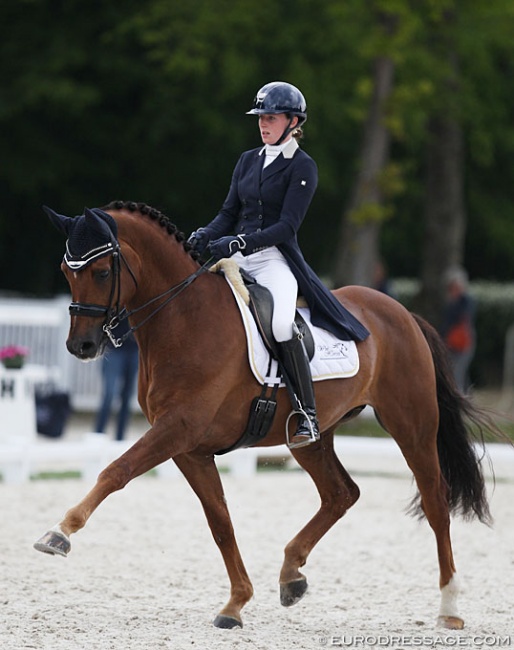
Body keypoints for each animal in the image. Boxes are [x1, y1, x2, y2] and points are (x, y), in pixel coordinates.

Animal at [35, 201, 492, 628]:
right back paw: (292, 575)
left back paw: (450, 607)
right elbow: (220, 522)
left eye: (101, 273)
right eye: (65, 271)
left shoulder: (176, 429)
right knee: (341, 493)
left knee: (435, 501)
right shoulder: (189, 447)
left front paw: (59, 533)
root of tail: (402, 313)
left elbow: (116, 471)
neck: (184, 319)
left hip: (412, 425)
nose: (81, 347)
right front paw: (235, 604)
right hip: (309, 437)